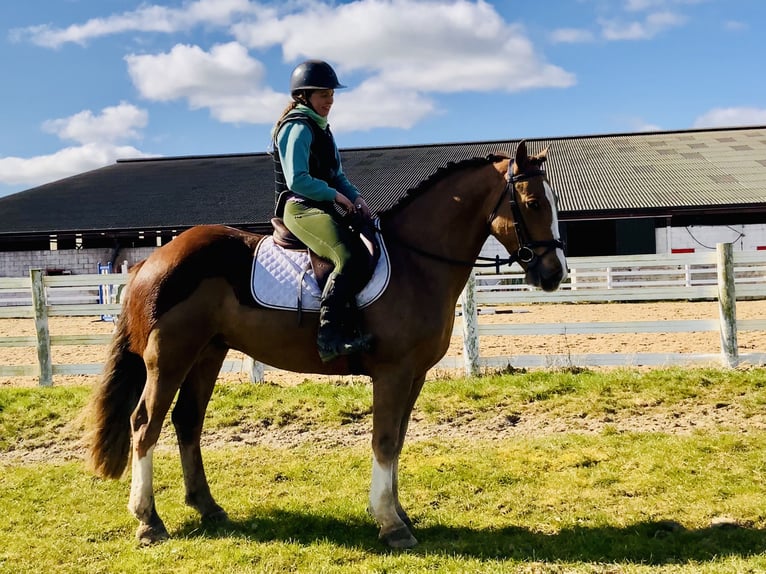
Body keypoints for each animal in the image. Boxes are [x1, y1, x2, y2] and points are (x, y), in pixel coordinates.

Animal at [85, 140, 568, 548]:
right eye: (532, 203)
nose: (554, 273)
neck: (416, 262)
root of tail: (152, 259)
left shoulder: (413, 376)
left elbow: (398, 441)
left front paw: (398, 513)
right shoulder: (393, 374)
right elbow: (384, 441)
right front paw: (391, 525)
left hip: (208, 353)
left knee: (187, 421)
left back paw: (208, 508)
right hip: (169, 358)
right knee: (144, 425)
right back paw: (149, 521)